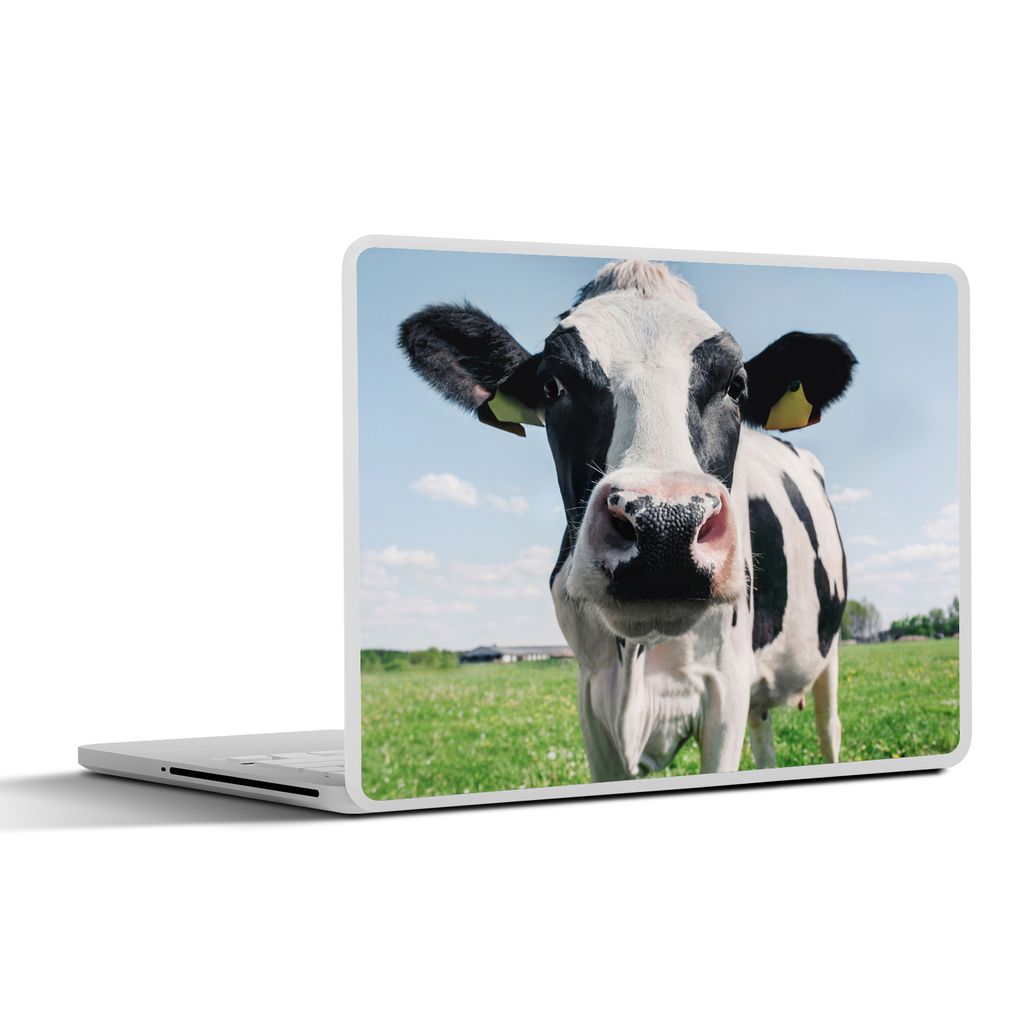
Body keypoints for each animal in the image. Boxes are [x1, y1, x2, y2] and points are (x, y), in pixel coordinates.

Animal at [398, 260, 856, 780]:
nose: (666, 526)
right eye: (552, 385)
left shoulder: (726, 685)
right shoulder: (592, 693)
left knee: (829, 728)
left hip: (827, 652)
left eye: (736, 386)